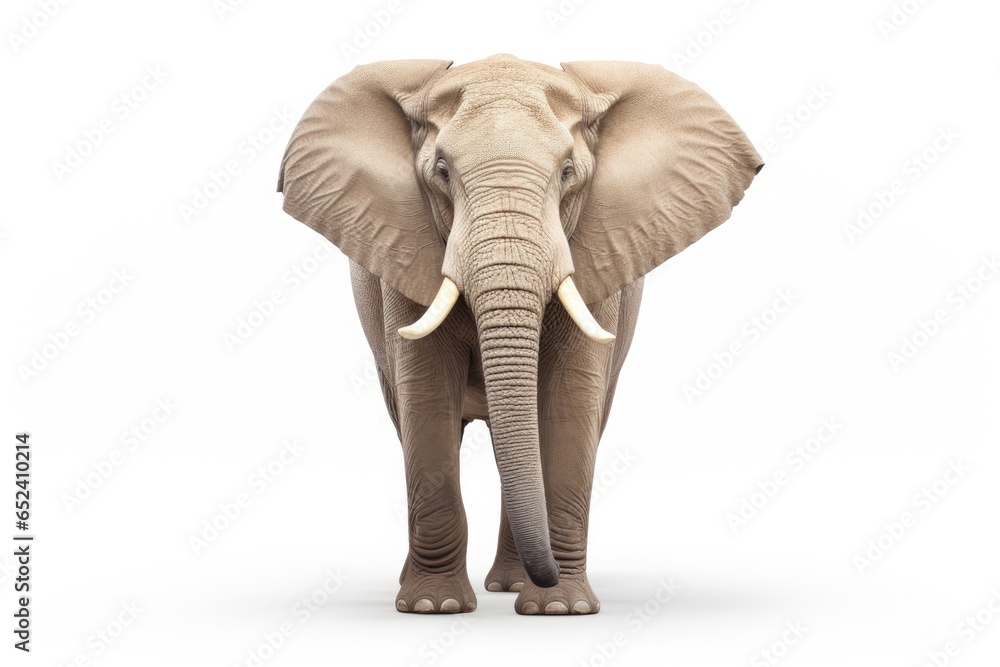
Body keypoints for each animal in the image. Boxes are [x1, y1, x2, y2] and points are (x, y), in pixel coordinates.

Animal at [277, 54, 761, 615]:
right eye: (442, 172)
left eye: (569, 172)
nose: (547, 577)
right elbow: (427, 399)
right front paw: (434, 607)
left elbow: (570, 403)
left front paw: (560, 609)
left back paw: (510, 587)